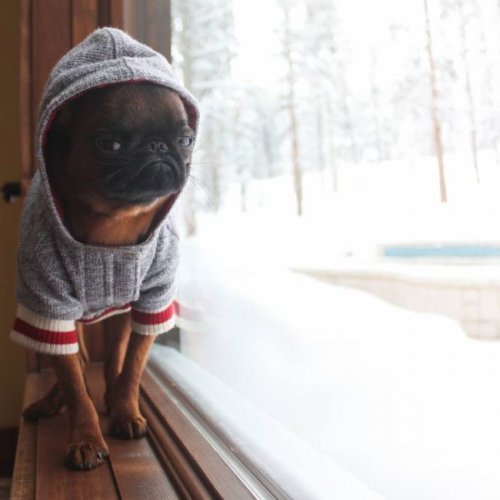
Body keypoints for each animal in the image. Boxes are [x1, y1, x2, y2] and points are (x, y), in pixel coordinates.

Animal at [10, 28, 199, 470]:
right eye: (109, 143)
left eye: (186, 140)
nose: (159, 148)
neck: (113, 225)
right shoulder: (51, 308)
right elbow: (75, 383)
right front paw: (85, 437)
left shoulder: (151, 301)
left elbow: (132, 367)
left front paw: (126, 410)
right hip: (66, 320)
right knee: (75, 363)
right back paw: (51, 403)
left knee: (113, 358)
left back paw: (113, 399)